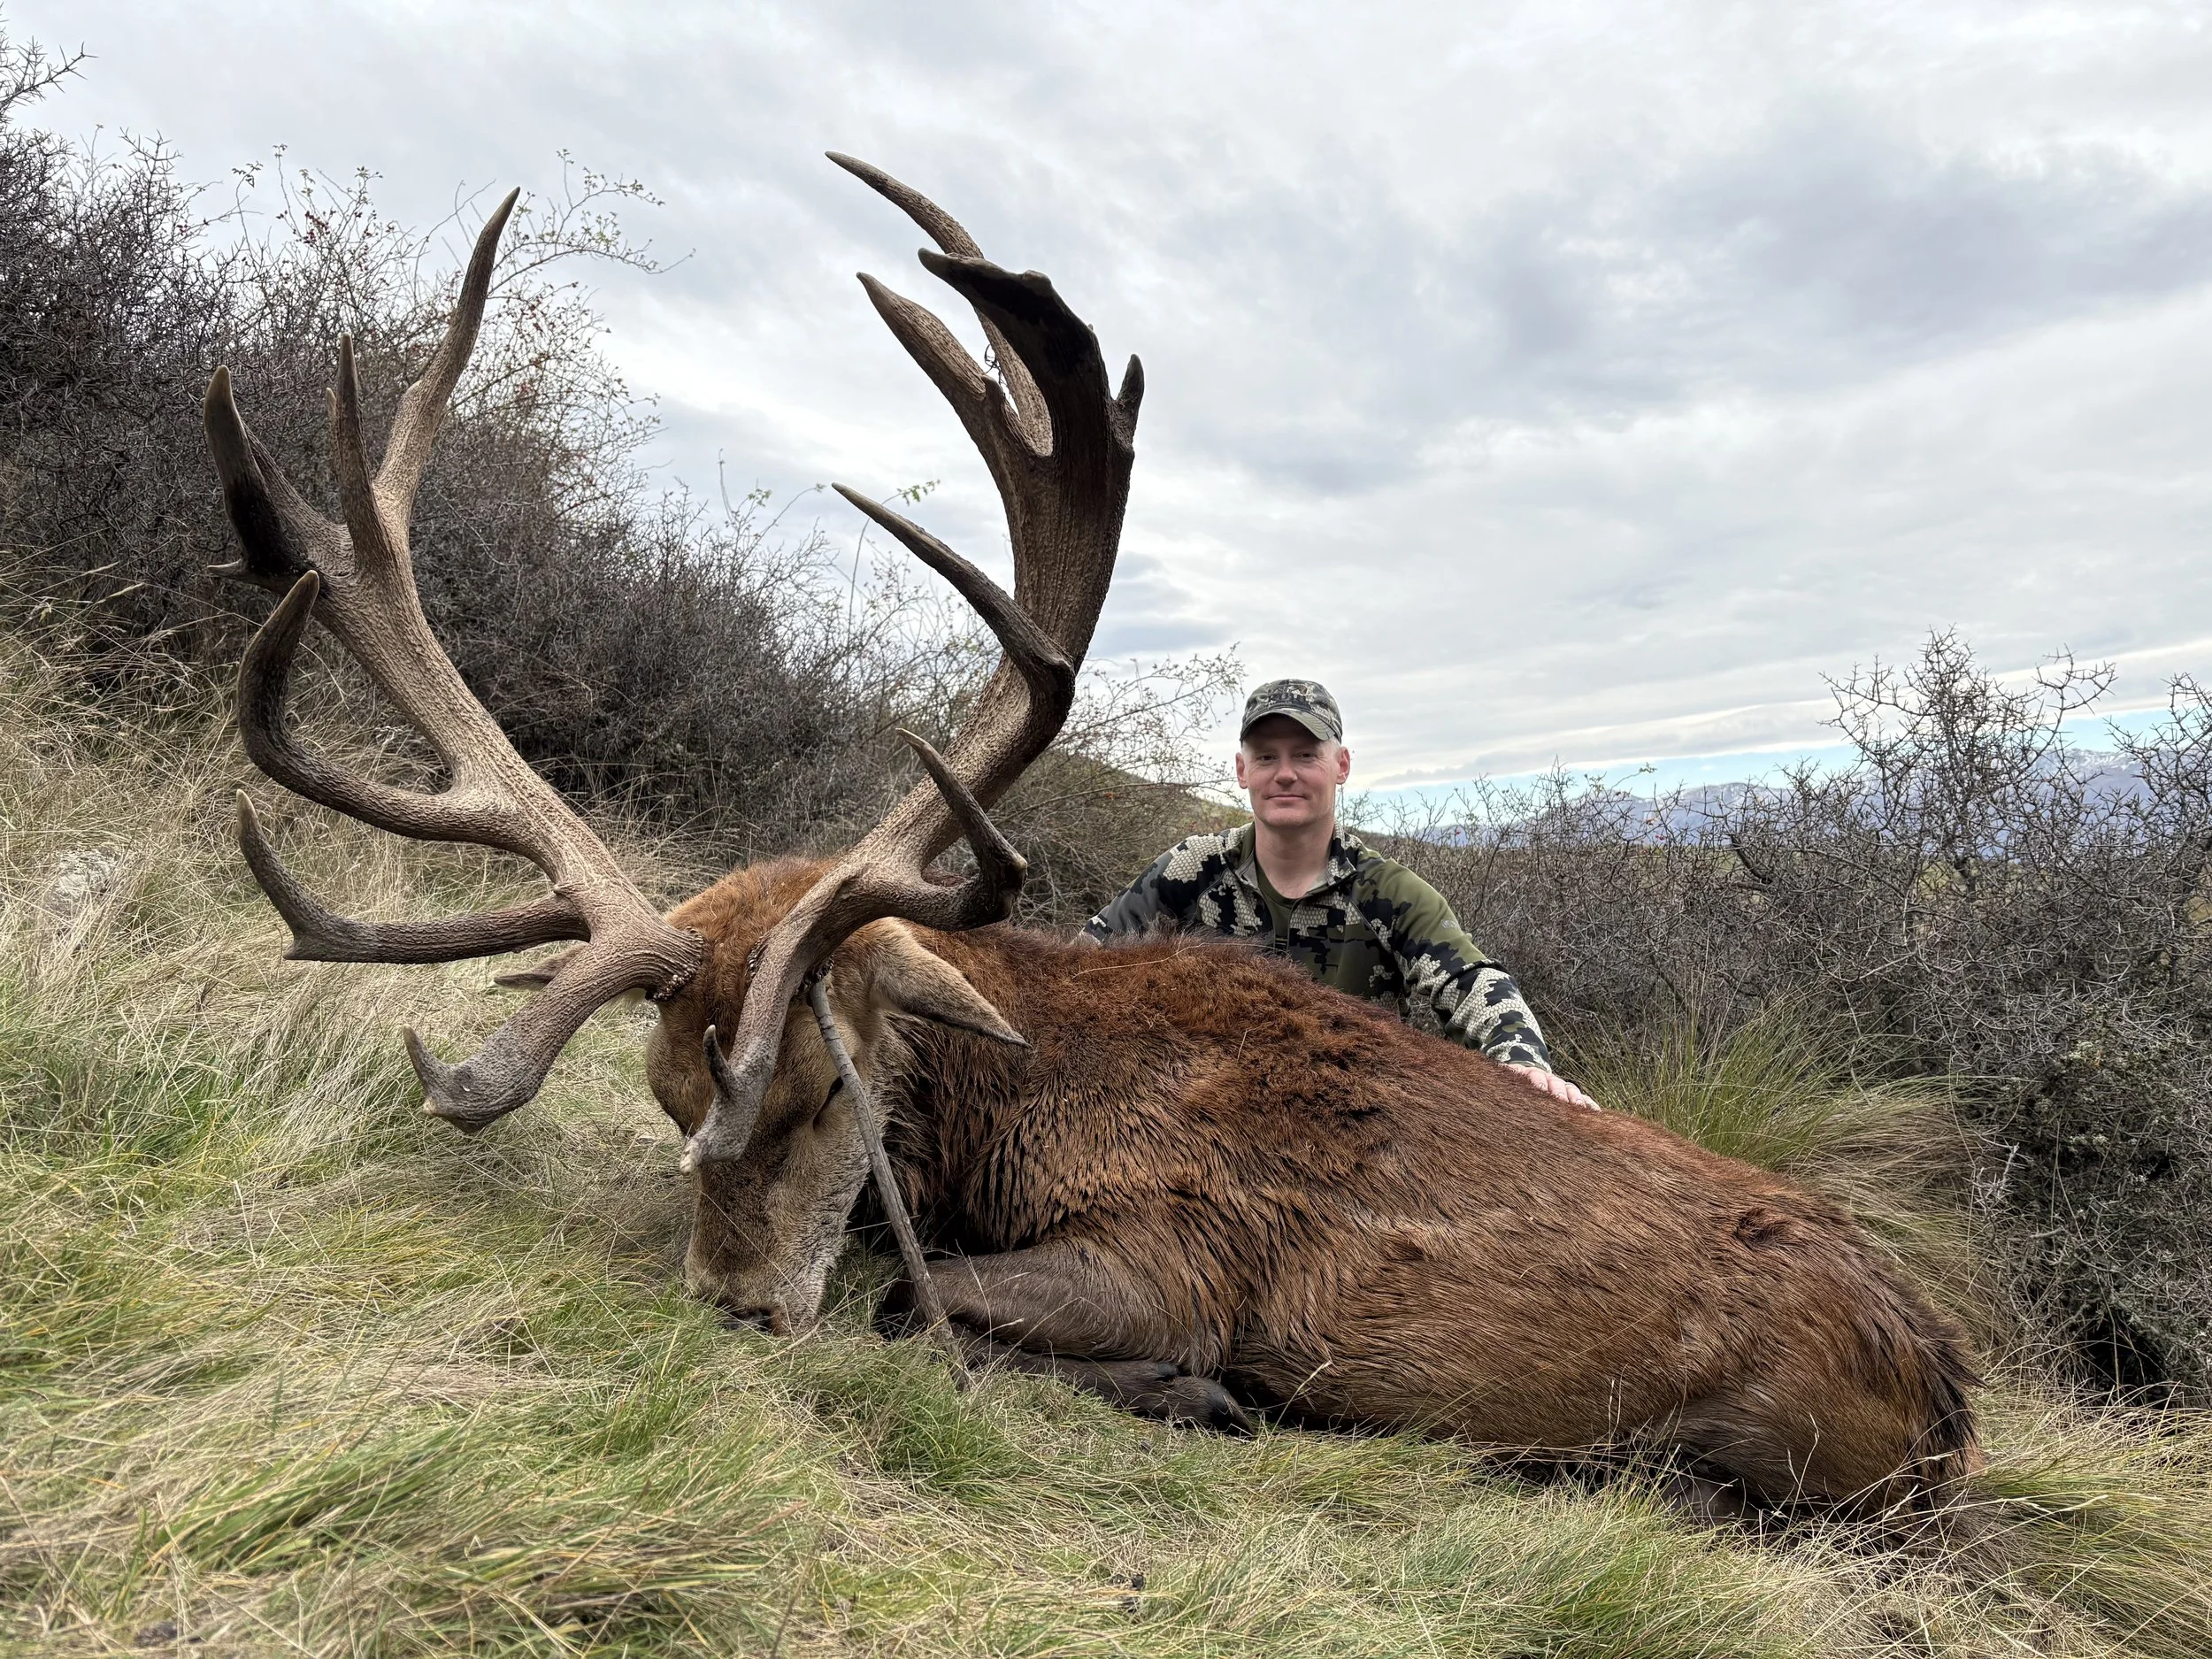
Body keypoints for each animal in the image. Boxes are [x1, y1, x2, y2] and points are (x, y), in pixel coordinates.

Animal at [204, 155, 1981, 1520]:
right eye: (662, 1093)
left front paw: (1197, 1390)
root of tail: (1954, 1389)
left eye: (815, 1085)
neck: (1014, 1094)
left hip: (1786, 1444)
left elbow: (920, 1302)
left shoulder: (1178, 1245)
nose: (736, 1303)